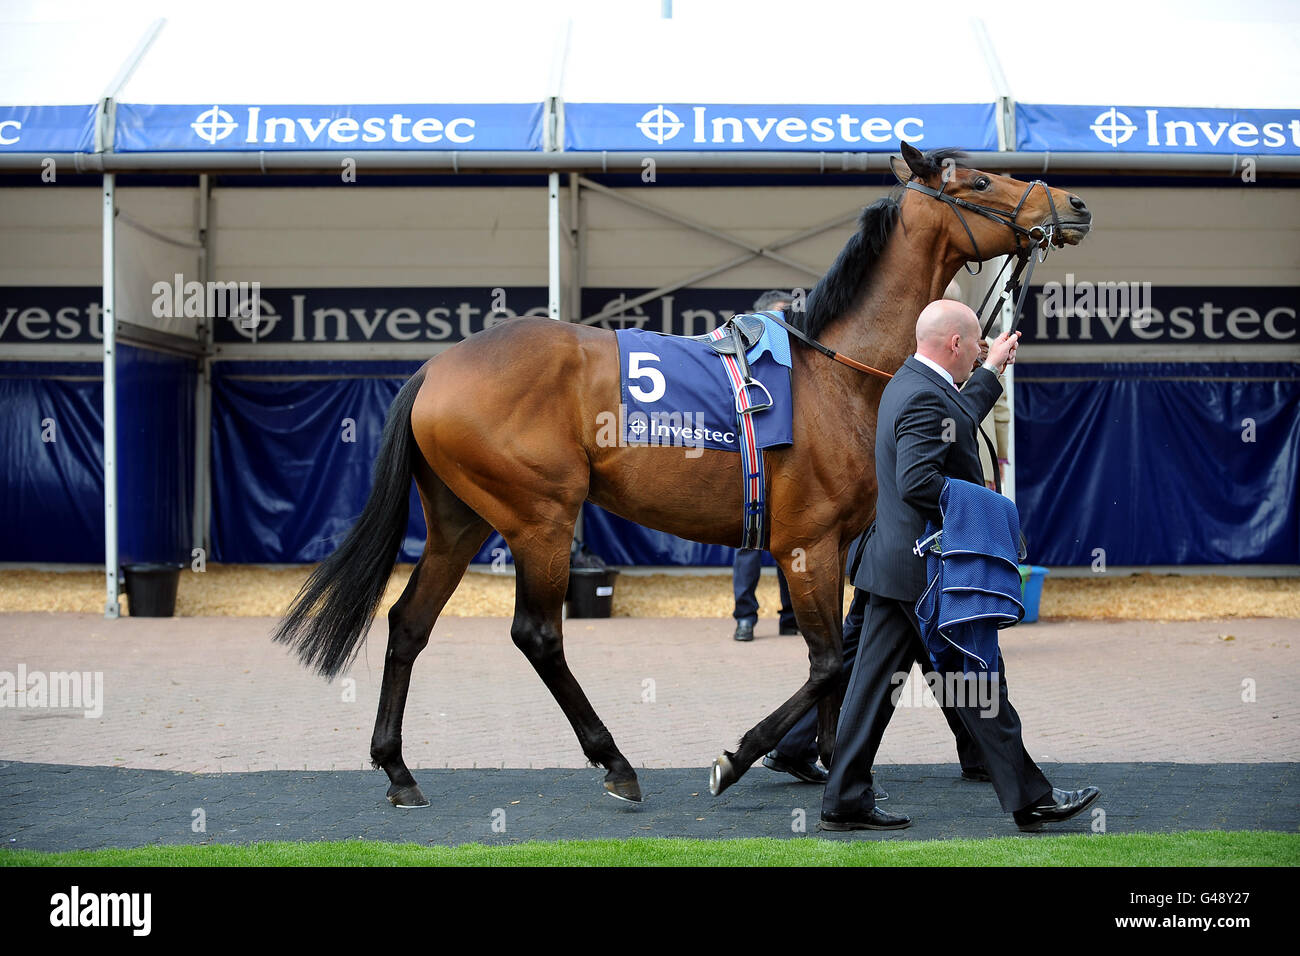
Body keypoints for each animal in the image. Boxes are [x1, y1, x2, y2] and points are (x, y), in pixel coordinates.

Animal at [273, 142, 1092, 808]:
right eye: (979, 180)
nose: (1073, 204)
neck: (838, 375)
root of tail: (438, 367)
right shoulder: (806, 543)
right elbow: (830, 661)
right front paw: (745, 757)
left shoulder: (837, 545)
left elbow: (842, 660)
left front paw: (832, 765)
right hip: (540, 516)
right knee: (537, 634)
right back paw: (614, 762)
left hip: (459, 518)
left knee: (409, 623)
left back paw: (398, 770)